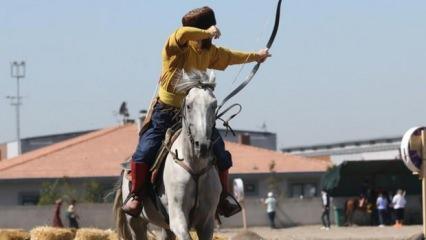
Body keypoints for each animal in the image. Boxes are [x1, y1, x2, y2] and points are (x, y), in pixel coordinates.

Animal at [113, 71, 223, 240]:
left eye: (214, 105)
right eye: (189, 105)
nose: (203, 145)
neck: (194, 166)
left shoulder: (207, 223)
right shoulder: (178, 219)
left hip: (165, 226)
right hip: (136, 222)